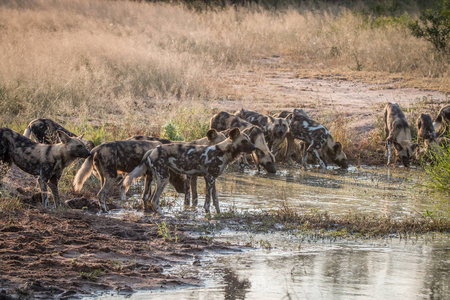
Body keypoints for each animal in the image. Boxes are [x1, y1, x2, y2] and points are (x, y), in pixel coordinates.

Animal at [124, 127, 256, 214]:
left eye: (250, 139)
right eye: (244, 141)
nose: (254, 148)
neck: (223, 151)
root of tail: (153, 150)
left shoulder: (212, 179)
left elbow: (216, 200)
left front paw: (219, 214)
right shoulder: (209, 178)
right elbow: (207, 202)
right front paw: (208, 215)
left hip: (153, 177)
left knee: (146, 197)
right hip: (164, 179)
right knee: (154, 200)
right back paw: (162, 214)